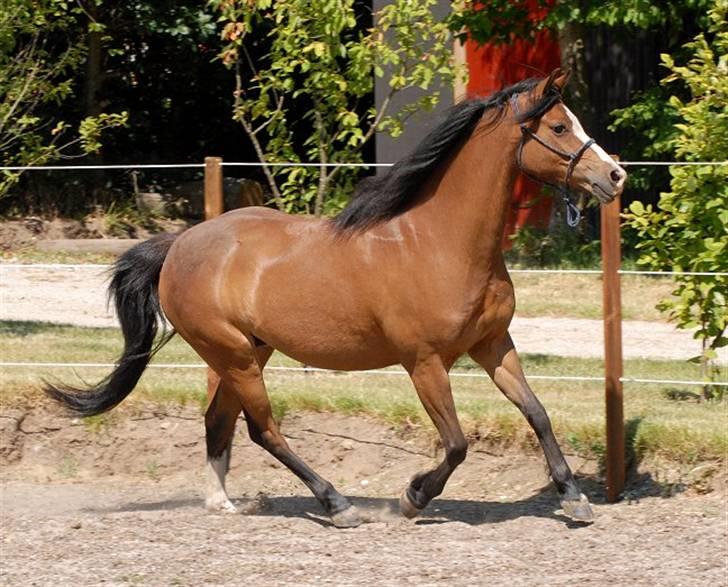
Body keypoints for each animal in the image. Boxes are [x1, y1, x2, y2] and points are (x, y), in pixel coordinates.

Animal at [45, 70, 624, 528]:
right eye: (558, 127)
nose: (615, 175)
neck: (440, 244)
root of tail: (179, 245)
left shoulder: (493, 344)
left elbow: (538, 414)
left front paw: (574, 500)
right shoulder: (424, 363)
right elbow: (457, 442)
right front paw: (412, 497)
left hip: (247, 353)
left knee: (218, 421)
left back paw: (224, 503)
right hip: (233, 355)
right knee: (263, 429)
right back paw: (337, 505)